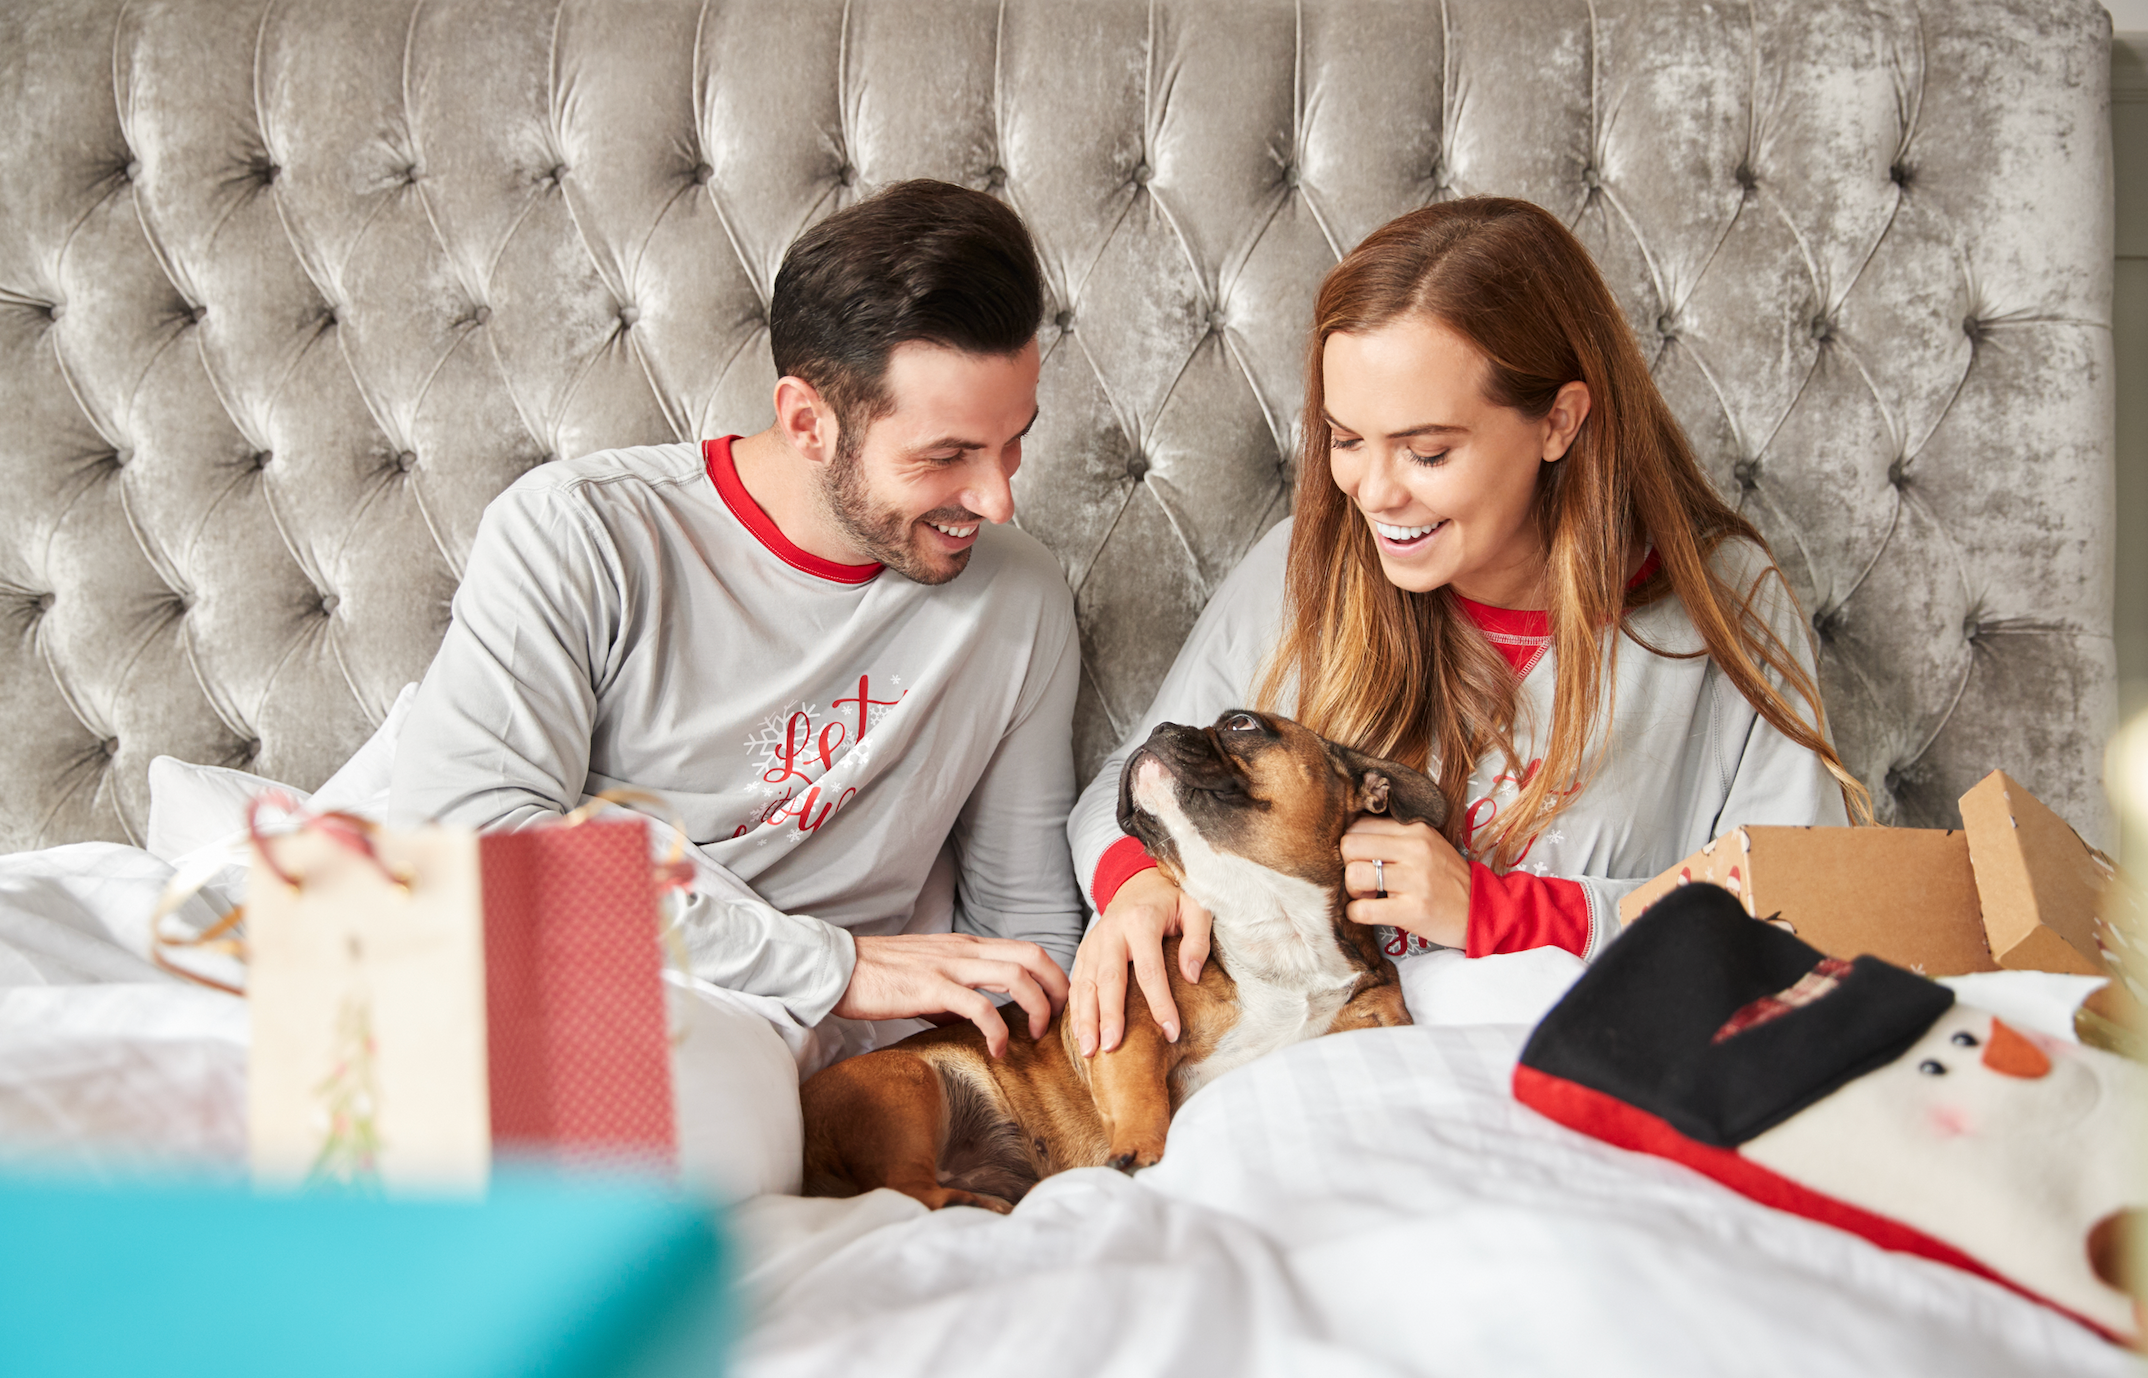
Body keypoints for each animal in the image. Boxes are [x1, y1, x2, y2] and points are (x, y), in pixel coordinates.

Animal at [799, 712, 1452, 1210]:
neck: (1272, 929)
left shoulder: (1373, 1008)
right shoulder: (1130, 1022)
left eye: (1242, 725)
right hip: (905, 1086)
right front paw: (1141, 1152)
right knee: (907, 1191)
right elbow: (1142, 1097)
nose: (1160, 723)